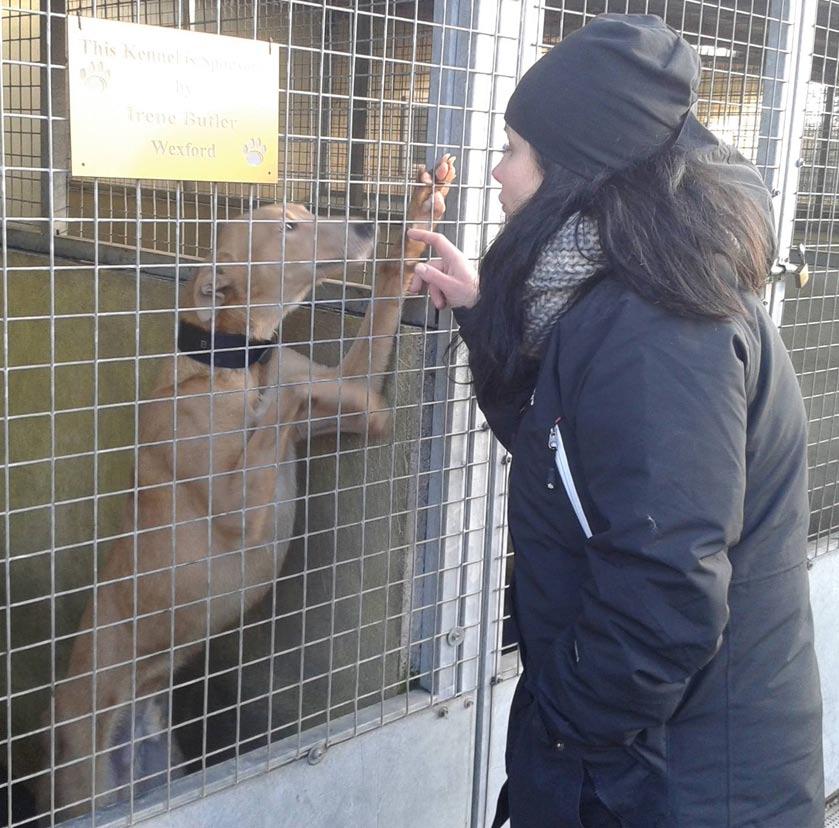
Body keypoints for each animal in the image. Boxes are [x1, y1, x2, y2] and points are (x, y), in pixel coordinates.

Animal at [42, 157, 456, 820]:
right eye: (287, 226)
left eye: (308, 212)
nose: (369, 224)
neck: (231, 362)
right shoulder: (237, 503)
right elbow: (292, 390)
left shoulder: (339, 380)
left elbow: (351, 368)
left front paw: (420, 220)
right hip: (87, 786)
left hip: (163, 766)